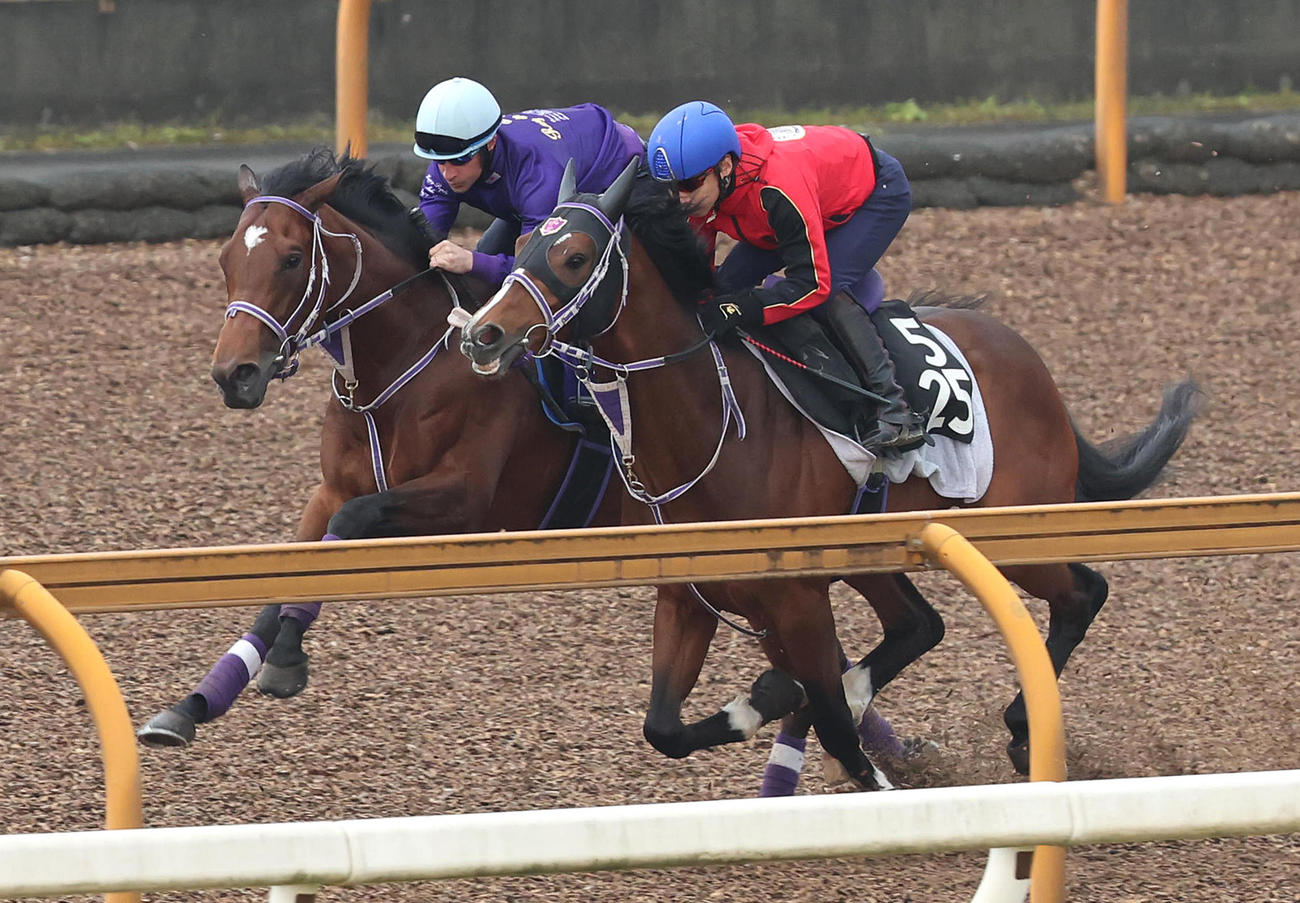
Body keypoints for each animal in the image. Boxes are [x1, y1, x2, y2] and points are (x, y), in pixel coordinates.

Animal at [458, 160, 1202, 787]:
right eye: (520, 249)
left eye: (574, 257)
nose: (482, 335)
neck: (710, 427)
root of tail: (1028, 357)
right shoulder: (689, 596)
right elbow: (662, 726)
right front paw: (770, 695)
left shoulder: (798, 600)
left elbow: (838, 729)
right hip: (876, 547)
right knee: (921, 624)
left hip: (1015, 531)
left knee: (1082, 593)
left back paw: (1023, 731)